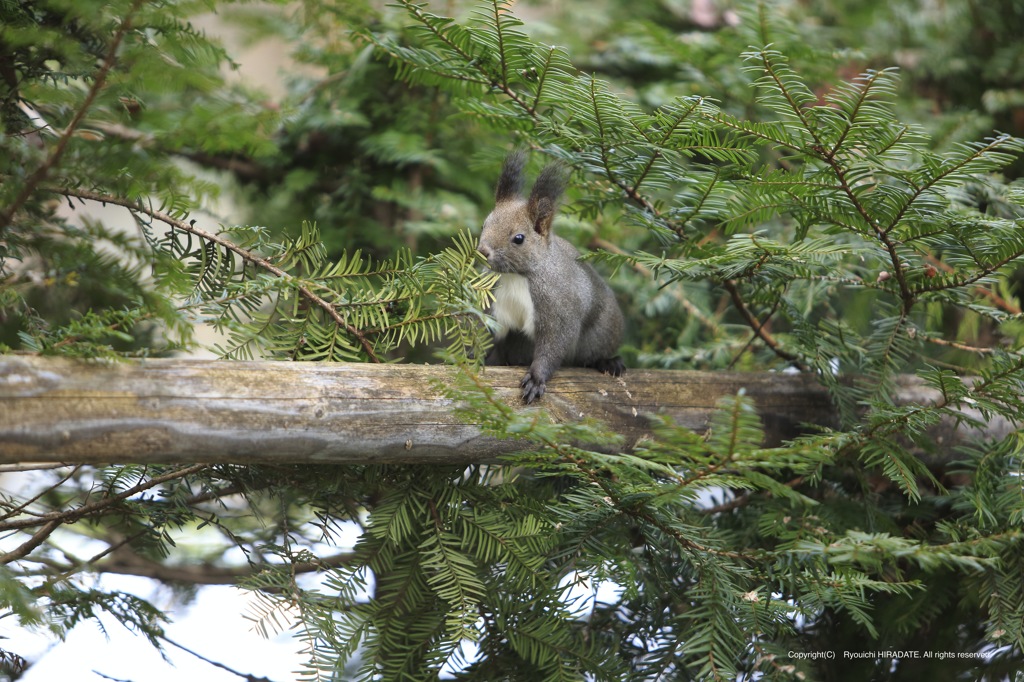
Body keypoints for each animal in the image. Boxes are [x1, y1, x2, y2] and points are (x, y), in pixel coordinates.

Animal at [477, 151, 622, 401]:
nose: (483, 251)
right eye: (485, 224)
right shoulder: (493, 302)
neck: (517, 276)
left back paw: (609, 362)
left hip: (603, 331)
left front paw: (536, 379)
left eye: (518, 238)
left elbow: (554, 344)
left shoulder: (556, 304)